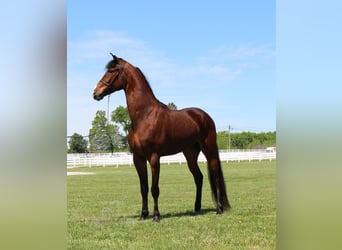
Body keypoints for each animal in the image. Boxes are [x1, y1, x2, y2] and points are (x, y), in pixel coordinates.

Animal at [93, 54, 230, 221]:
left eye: (111, 71)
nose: (95, 92)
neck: (145, 116)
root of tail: (205, 116)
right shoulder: (138, 158)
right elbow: (143, 188)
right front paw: (143, 215)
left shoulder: (154, 157)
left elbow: (154, 188)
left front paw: (156, 216)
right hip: (190, 154)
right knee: (198, 177)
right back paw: (196, 208)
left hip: (209, 150)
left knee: (215, 176)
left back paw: (219, 208)